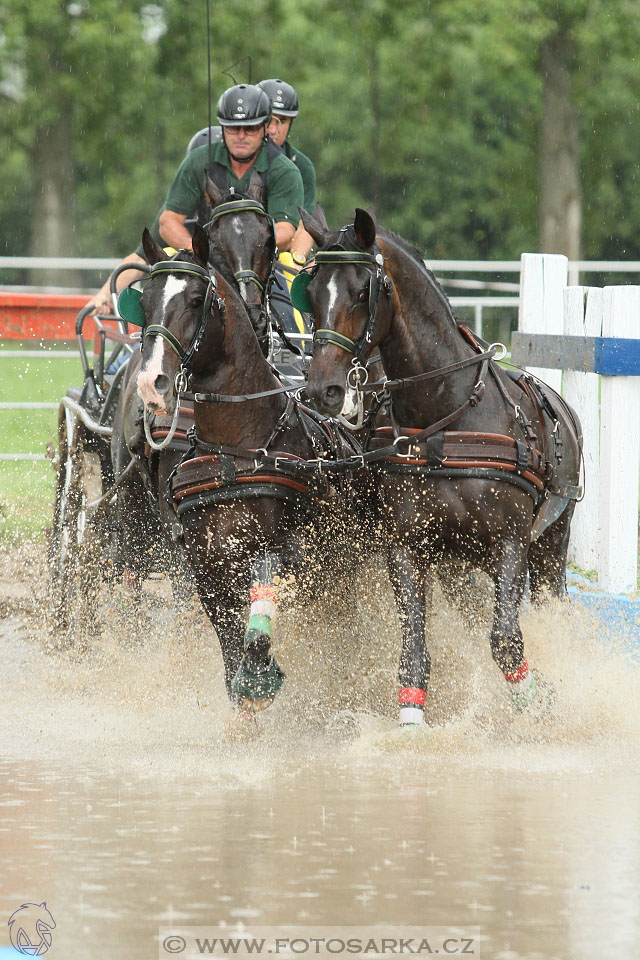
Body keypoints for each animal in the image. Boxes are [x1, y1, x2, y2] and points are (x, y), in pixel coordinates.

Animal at [298, 206, 584, 724]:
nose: (322, 390)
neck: (443, 416)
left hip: (552, 542)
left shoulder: (509, 544)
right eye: (310, 294)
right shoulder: (408, 548)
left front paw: (536, 704)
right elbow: (413, 649)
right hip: (456, 564)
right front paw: (411, 721)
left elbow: (505, 640)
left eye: (362, 290)